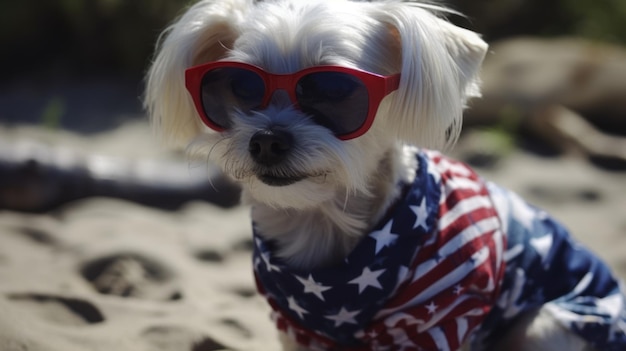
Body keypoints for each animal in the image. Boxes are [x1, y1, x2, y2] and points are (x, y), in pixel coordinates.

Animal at [144, 0, 620, 351]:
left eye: (334, 91)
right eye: (239, 88)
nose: (266, 141)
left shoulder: (443, 318)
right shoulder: (296, 326)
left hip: (551, 324)